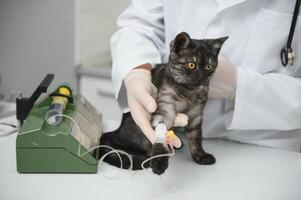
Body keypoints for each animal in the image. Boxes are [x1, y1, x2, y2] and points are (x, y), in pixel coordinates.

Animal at [98, 31, 227, 175]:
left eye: (208, 67)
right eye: (191, 65)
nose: (201, 78)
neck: (189, 91)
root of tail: (116, 131)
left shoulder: (196, 115)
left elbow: (196, 138)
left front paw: (200, 156)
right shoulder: (164, 109)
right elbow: (160, 135)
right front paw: (159, 161)